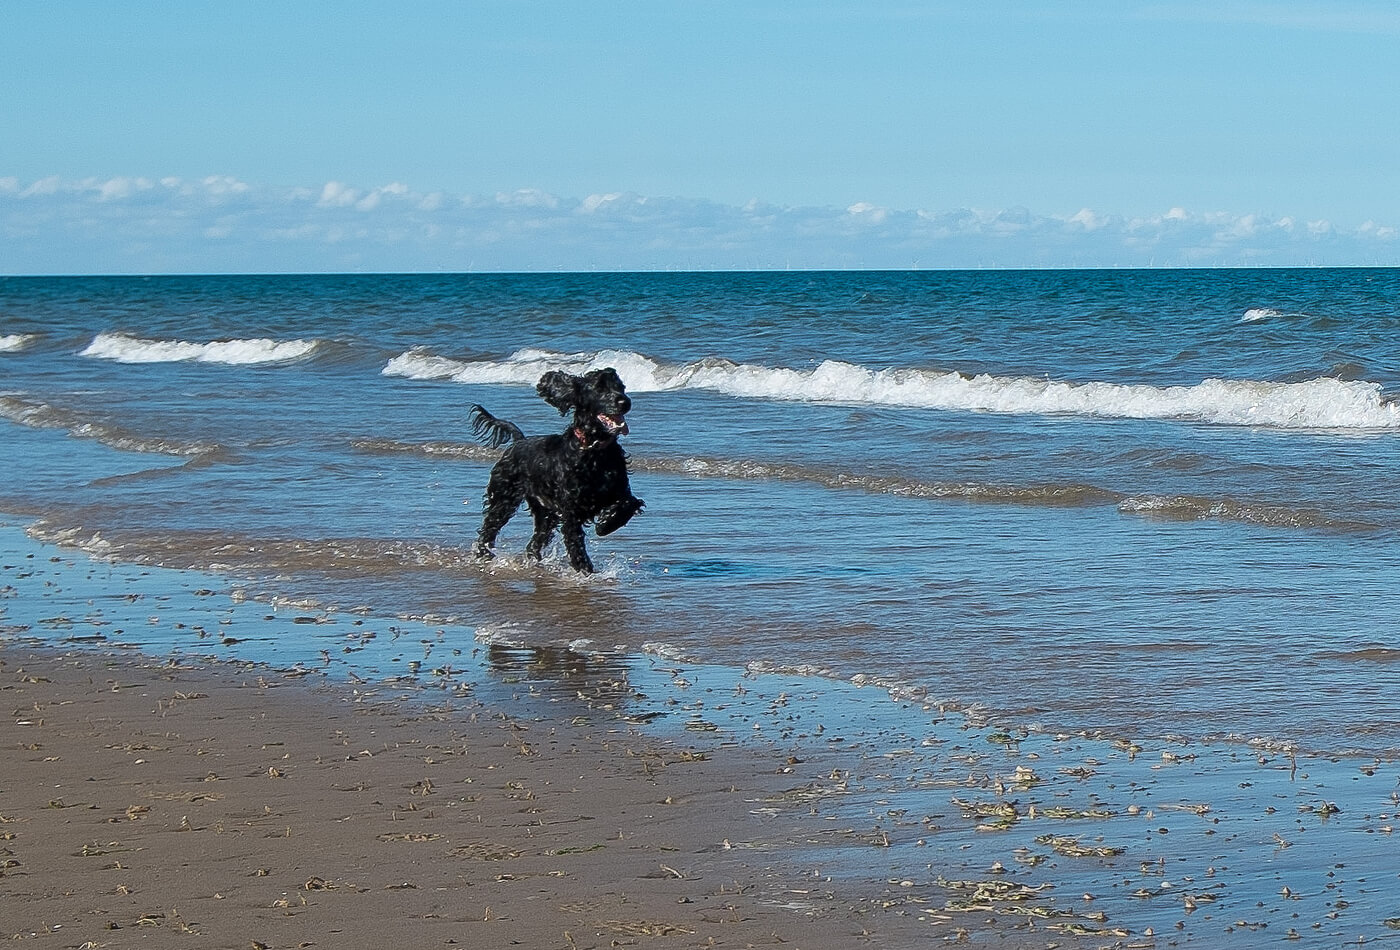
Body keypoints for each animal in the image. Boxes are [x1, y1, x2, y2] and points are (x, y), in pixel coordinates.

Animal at [470, 366, 644, 573]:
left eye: (621, 387)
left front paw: (605, 524)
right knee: (489, 528)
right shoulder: (571, 513)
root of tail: (519, 441)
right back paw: (484, 554)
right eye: (599, 388)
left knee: (534, 541)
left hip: (545, 512)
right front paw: (586, 571)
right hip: (504, 498)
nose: (625, 402)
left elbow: (629, 502)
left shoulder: (618, 489)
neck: (594, 450)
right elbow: (575, 545)